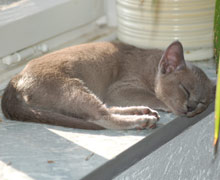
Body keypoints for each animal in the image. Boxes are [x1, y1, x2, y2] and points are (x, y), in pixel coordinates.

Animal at [0, 41, 216, 129]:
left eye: (203, 102)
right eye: (185, 89)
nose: (191, 107)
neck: (150, 65)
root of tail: (15, 78)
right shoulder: (119, 88)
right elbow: (156, 97)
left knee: (104, 111)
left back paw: (141, 112)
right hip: (71, 88)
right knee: (102, 116)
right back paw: (144, 120)